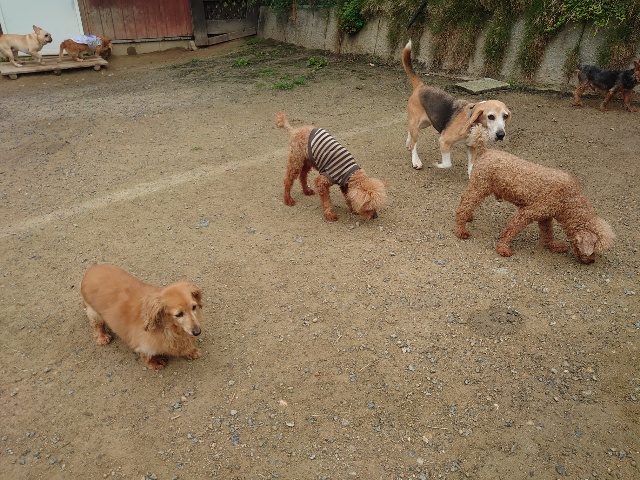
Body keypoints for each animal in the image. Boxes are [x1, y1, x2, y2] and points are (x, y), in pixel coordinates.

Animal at [402, 40, 511, 175]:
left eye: (505, 116)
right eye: (491, 116)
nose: (501, 135)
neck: (471, 123)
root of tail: (421, 86)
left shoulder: (472, 147)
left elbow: (471, 167)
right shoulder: (444, 141)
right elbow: (447, 164)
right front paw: (438, 164)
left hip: (425, 123)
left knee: (410, 133)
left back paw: (408, 143)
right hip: (417, 123)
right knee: (414, 143)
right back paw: (415, 160)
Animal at [455, 125, 614, 263]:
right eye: (594, 250)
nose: (592, 261)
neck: (568, 201)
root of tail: (485, 150)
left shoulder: (545, 217)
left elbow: (548, 234)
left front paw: (554, 246)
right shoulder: (527, 213)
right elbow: (511, 231)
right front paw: (503, 248)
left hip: (479, 186)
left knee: (466, 200)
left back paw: (468, 217)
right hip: (480, 186)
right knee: (464, 205)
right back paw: (462, 230)